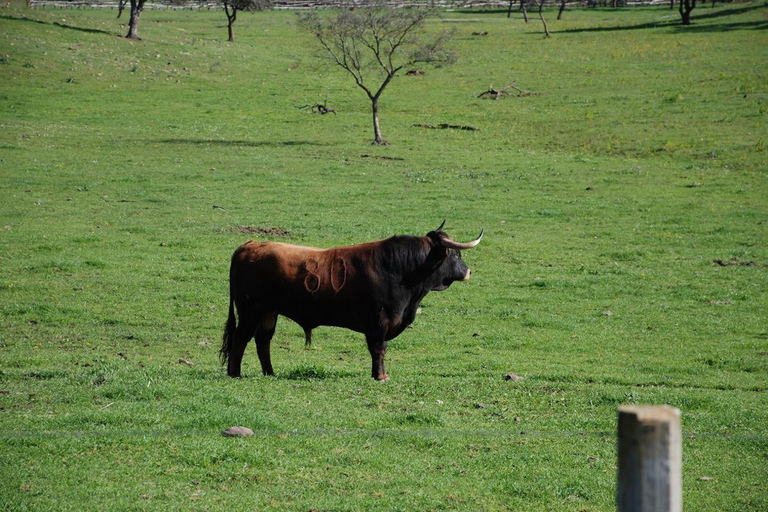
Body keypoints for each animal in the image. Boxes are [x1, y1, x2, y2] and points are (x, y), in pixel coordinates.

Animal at [220, 222, 483, 381]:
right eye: (456, 254)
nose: (469, 272)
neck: (401, 269)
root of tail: (251, 245)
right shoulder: (378, 322)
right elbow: (378, 349)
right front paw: (381, 376)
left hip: (268, 312)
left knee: (263, 340)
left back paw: (270, 373)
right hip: (251, 311)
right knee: (241, 338)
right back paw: (235, 373)